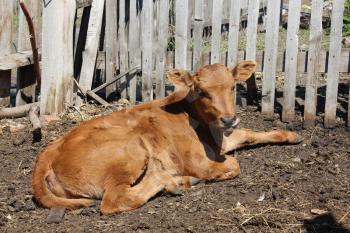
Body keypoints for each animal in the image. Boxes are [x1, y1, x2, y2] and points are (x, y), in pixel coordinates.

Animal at [31, 61, 302, 214]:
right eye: (200, 91)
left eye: (233, 86)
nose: (228, 119)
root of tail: (51, 148)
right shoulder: (197, 161)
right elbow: (234, 165)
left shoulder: (224, 139)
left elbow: (248, 134)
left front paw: (291, 134)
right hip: (129, 150)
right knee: (115, 201)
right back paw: (168, 178)